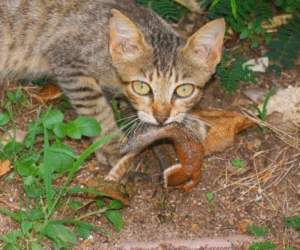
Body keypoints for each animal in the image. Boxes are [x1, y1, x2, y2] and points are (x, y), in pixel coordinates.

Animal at [0, 0, 225, 167]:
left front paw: (188, 122)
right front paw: (110, 144)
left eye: (184, 90)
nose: (161, 118)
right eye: (141, 86)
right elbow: (96, 108)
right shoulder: (67, 59)